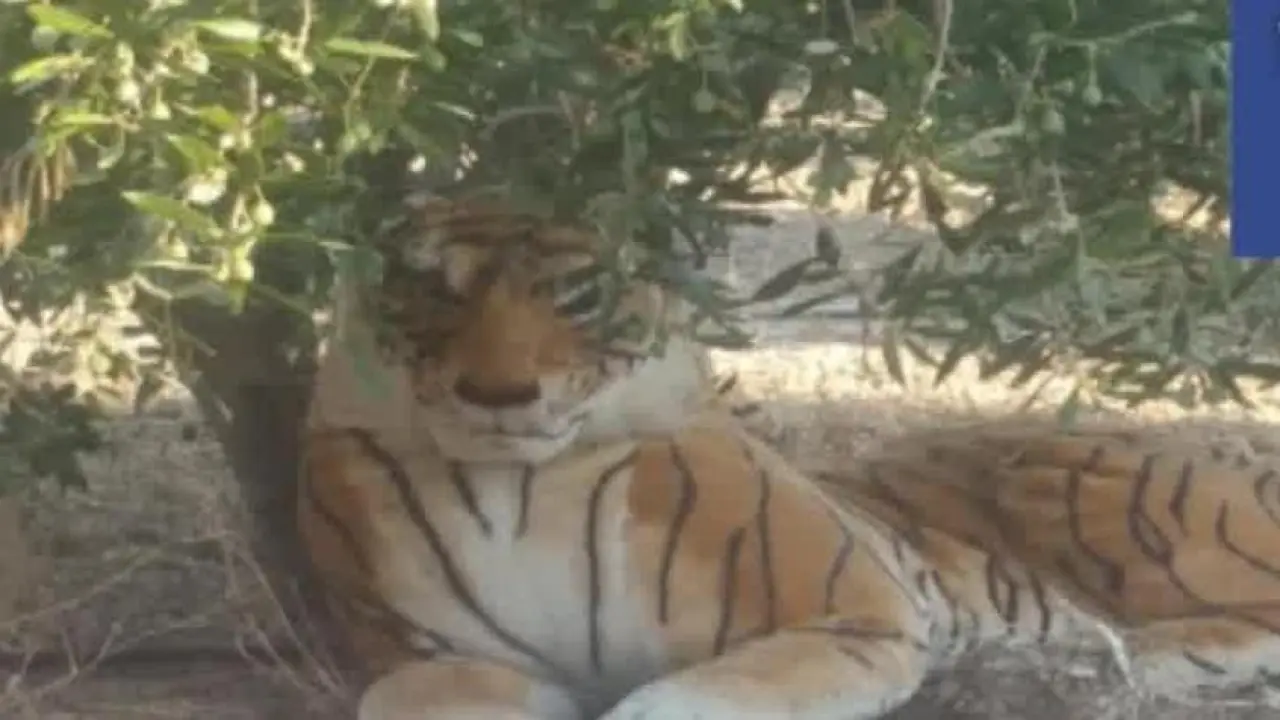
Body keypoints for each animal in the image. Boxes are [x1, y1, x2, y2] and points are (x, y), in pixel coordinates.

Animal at [298, 193, 1280, 720]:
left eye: (577, 294)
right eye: (432, 290)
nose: (496, 394)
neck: (524, 487)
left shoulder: (850, 614)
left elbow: (697, 697)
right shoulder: (430, 660)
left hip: (1111, 494)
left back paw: (1120, 656)